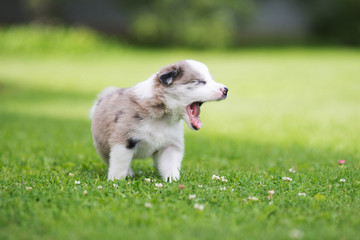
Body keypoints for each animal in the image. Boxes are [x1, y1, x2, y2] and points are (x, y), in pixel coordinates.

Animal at [90, 60, 228, 182]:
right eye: (198, 82)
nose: (226, 90)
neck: (163, 117)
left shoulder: (171, 145)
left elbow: (171, 166)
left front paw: (172, 181)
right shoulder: (124, 140)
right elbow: (120, 164)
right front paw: (116, 181)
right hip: (102, 145)